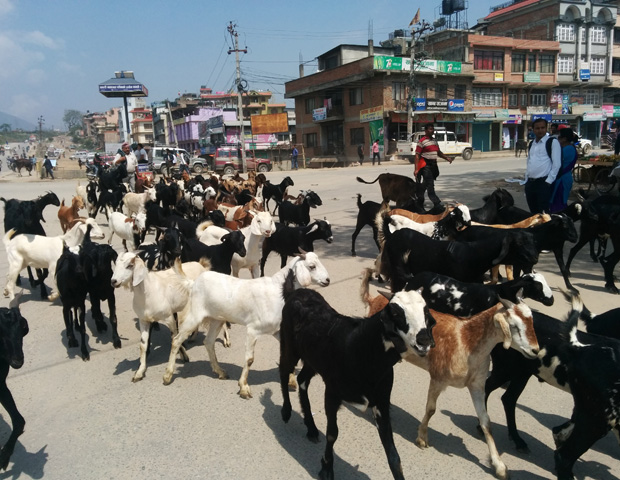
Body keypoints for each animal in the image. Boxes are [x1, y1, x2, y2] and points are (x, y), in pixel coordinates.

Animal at [162, 251, 332, 398]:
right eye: (312, 266)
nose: (327, 280)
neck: (278, 291)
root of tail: (193, 283)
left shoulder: (276, 331)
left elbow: (288, 353)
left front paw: (291, 380)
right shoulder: (253, 329)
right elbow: (249, 359)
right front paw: (243, 387)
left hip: (217, 319)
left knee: (208, 342)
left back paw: (220, 371)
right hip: (194, 315)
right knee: (176, 340)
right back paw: (168, 376)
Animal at [280, 282, 436, 480]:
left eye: (426, 312)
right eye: (395, 313)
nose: (423, 340)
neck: (361, 349)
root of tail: (297, 291)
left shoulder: (381, 402)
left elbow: (392, 452)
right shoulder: (332, 393)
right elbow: (332, 434)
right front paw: (326, 469)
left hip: (312, 359)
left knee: (302, 380)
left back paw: (311, 428)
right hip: (289, 346)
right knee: (284, 370)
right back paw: (286, 412)